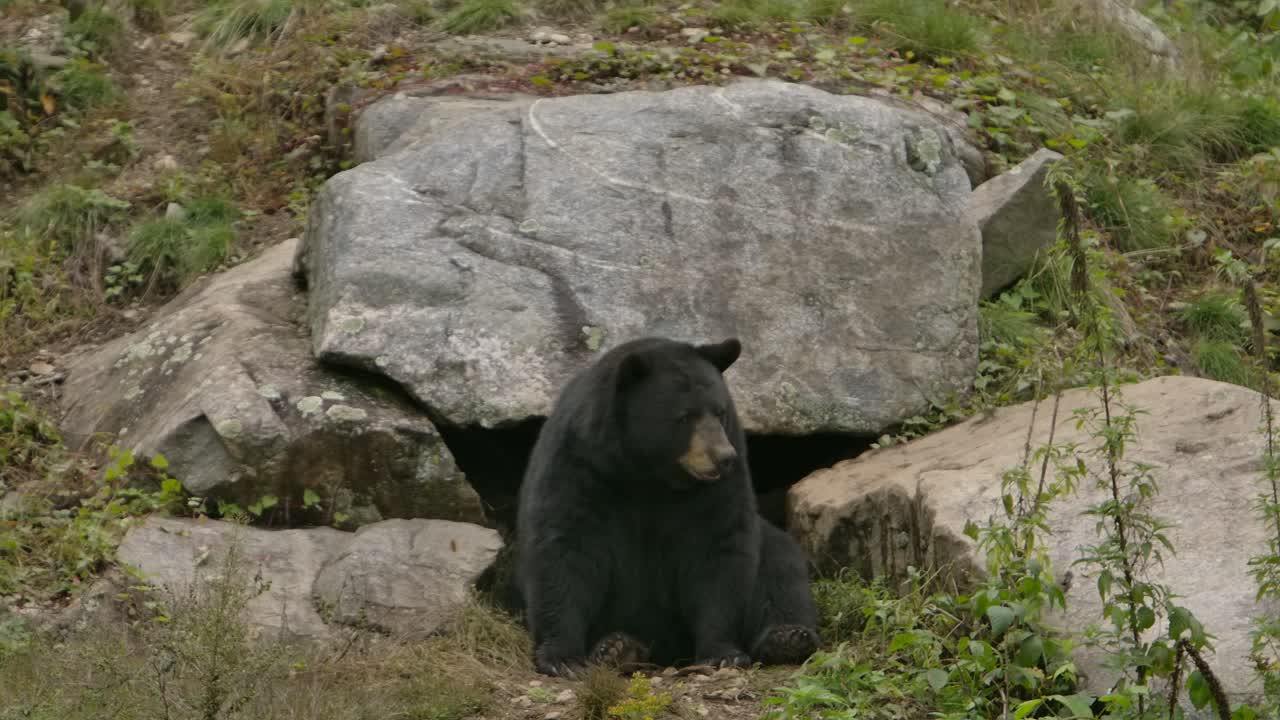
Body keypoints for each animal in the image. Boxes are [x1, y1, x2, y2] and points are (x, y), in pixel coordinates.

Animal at [514, 335, 821, 677]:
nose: (723, 457)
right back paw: (617, 647)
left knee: (780, 565)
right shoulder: (579, 463)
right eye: (685, 416)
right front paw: (562, 657)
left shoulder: (718, 486)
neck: (648, 472)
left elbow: (719, 546)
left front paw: (721, 653)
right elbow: (564, 547)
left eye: (720, 411)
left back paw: (787, 637)